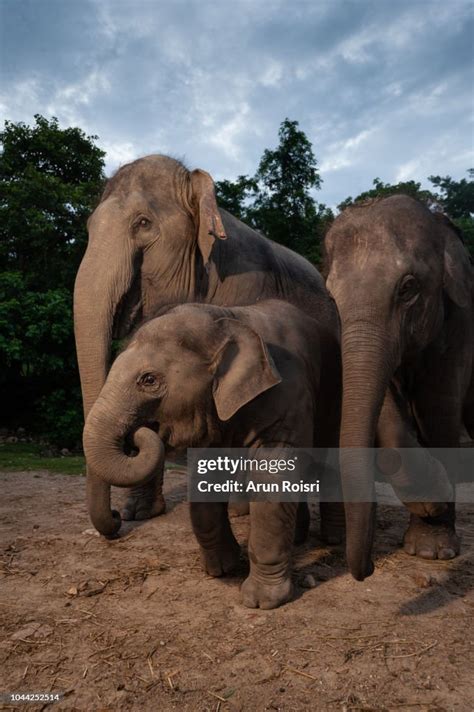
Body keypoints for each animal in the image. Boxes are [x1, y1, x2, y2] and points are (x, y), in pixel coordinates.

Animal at [75, 153, 340, 536]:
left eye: (143, 223)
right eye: (89, 227)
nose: (113, 519)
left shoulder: (247, 284)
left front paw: (239, 510)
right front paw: (139, 514)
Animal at [82, 298, 340, 608]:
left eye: (148, 380)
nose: (118, 516)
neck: (227, 319)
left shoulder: (288, 397)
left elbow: (273, 477)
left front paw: (261, 601)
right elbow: (206, 475)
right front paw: (222, 569)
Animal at [326, 193, 474, 580]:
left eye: (408, 288)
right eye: (331, 299)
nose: (368, 568)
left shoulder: (460, 321)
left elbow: (438, 406)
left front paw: (434, 548)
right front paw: (430, 503)